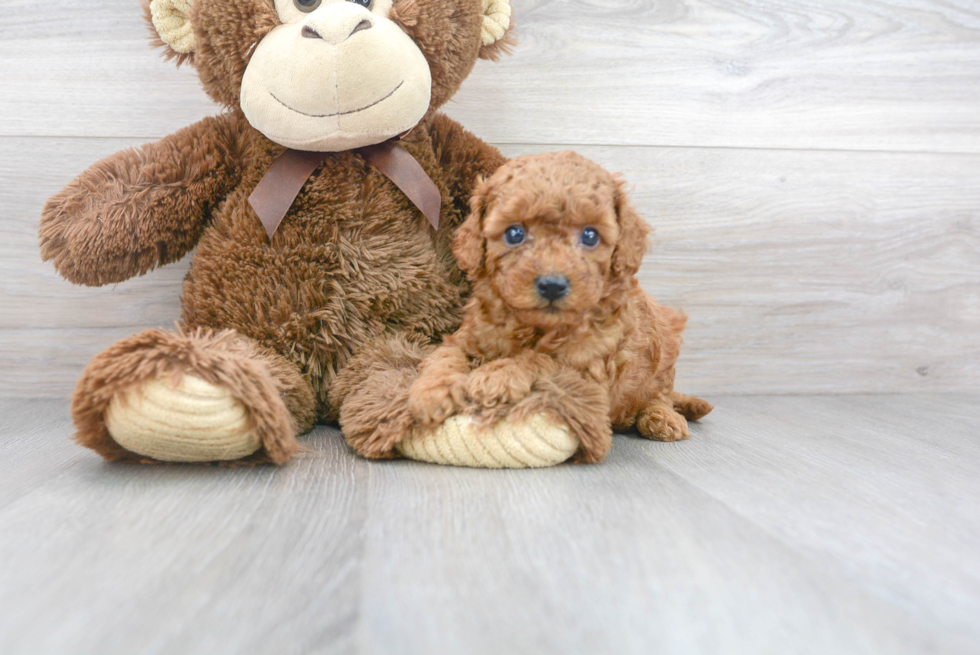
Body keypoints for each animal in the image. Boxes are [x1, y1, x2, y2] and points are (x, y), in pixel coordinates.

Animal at [408, 152, 712, 462]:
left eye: (590, 236)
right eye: (514, 234)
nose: (552, 285)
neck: (534, 326)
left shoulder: (589, 370)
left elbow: (543, 360)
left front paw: (498, 375)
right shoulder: (467, 338)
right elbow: (445, 357)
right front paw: (431, 393)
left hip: (665, 345)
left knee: (661, 395)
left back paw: (663, 418)